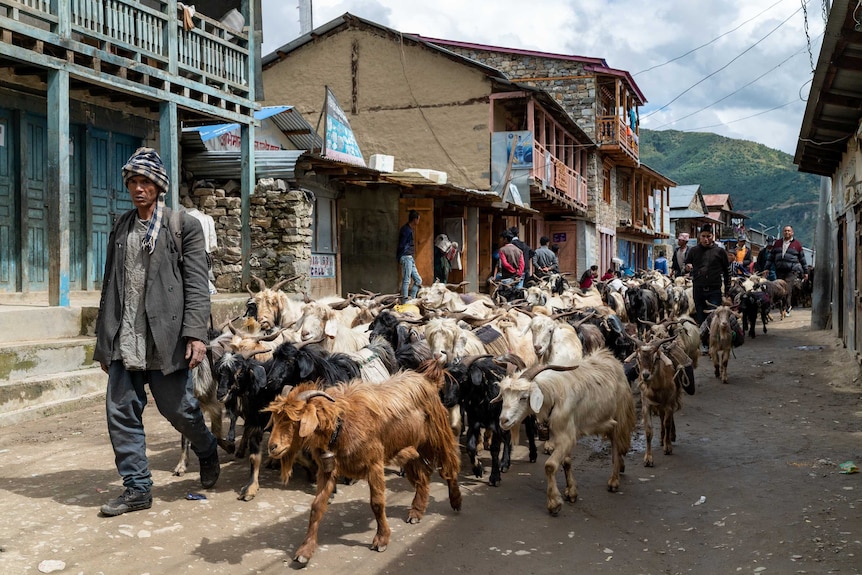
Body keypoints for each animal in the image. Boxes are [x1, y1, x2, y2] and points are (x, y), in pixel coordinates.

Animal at [266, 360, 462, 568]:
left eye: (293, 420)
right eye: (276, 418)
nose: (272, 447)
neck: (341, 423)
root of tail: (428, 379)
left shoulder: (374, 463)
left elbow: (377, 503)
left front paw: (381, 539)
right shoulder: (327, 470)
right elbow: (317, 506)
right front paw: (305, 551)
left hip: (436, 436)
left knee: (449, 466)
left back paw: (456, 501)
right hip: (408, 449)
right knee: (422, 479)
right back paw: (416, 513)